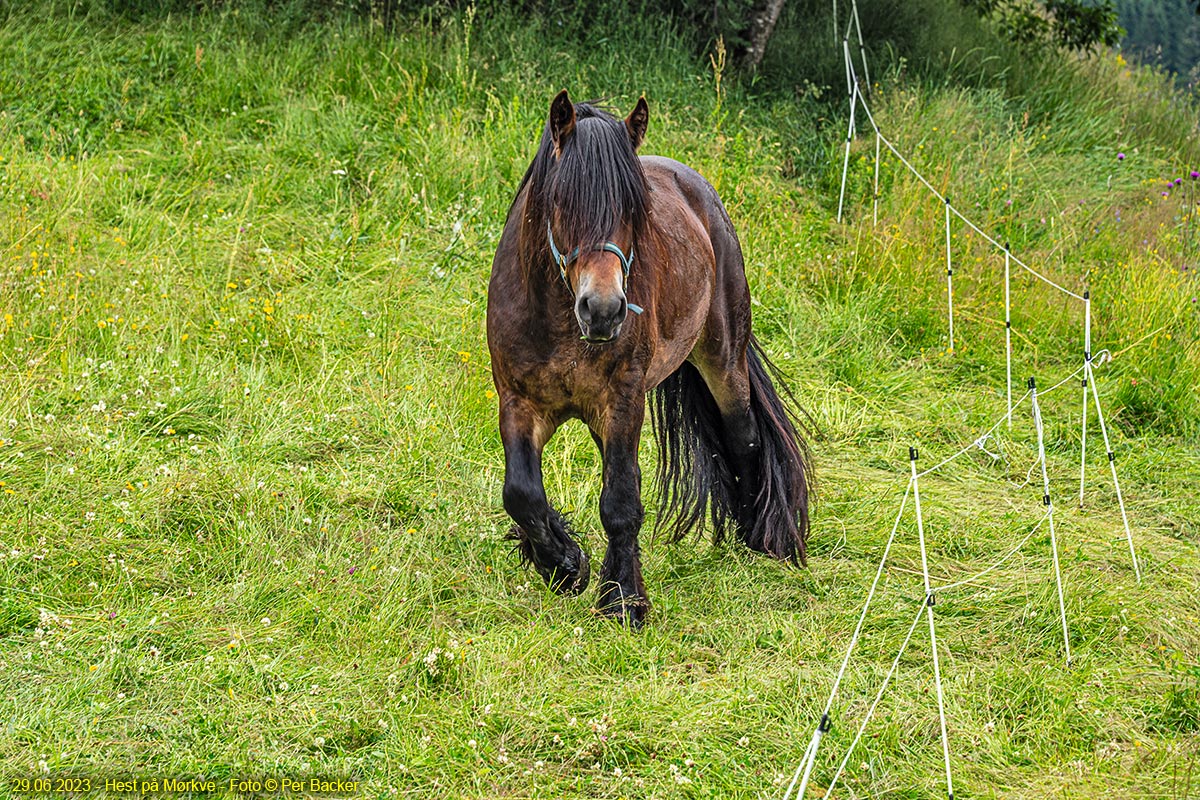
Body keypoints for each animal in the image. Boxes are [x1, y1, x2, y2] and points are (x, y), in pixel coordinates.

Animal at [482, 90, 811, 628]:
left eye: (633, 211)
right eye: (561, 202)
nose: (603, 309)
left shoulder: (623, 402)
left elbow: (621, 500)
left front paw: (621, 600)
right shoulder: (518, 401)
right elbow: (522, 493)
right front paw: (564, 564)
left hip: (724, 361)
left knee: (743, 438)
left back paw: (754, 539)